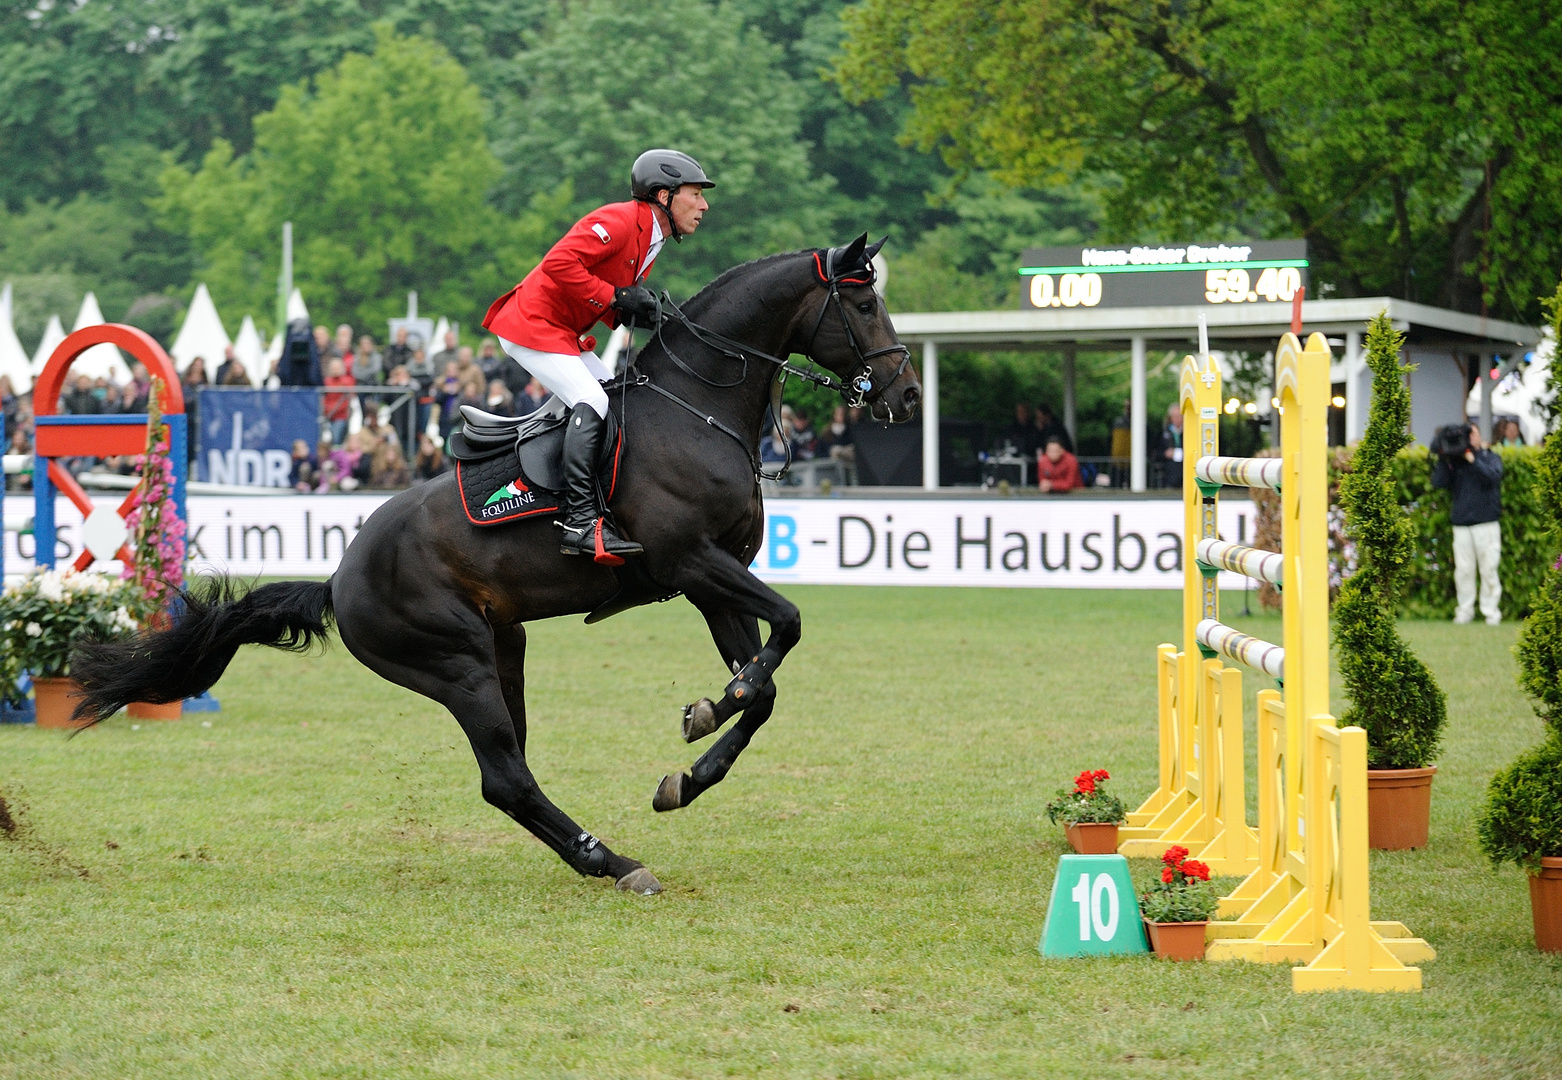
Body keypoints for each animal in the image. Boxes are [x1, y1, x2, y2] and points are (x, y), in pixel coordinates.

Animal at [73, 236, 918, 894]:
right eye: (863, 308)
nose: (906, 396)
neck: (697, 409)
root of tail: (340, 578)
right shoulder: (692, 563)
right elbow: (790, 626)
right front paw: (718, 703)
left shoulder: (710, 583)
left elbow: (765, 689)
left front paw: (692, 765)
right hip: (458, 663)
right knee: (504, 775)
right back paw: (613, 862)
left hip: (503, 646)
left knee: (513, 772)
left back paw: (597, 856)